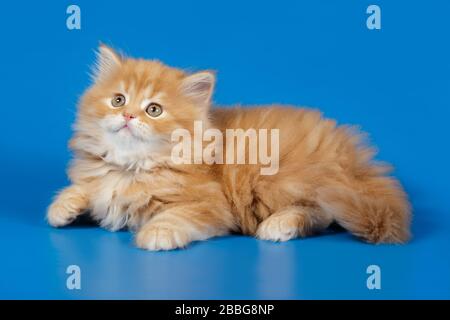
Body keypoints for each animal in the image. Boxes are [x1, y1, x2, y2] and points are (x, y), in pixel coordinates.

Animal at [47, 45, 414, 250]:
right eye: (118, 99)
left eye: (154, 109)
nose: (127, 115)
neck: (132, 167)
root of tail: (346, 149)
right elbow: (84, 188)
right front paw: (63, 207)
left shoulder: (212, 204)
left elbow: (177, 215)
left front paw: (156, 234)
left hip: (277, 180)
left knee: (320, 213)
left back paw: (278, 226)